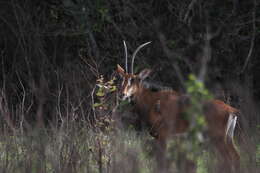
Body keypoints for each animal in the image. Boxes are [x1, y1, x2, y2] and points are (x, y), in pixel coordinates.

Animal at [117, 41, 241, 172]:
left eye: (134, 79)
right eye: (122, 79)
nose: (122, 94)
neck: (152, 100)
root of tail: (231, 110)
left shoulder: (163, 136)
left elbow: (162, 162)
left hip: (218, 139)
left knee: (228, 160)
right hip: (229, 138)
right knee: (236, 157)